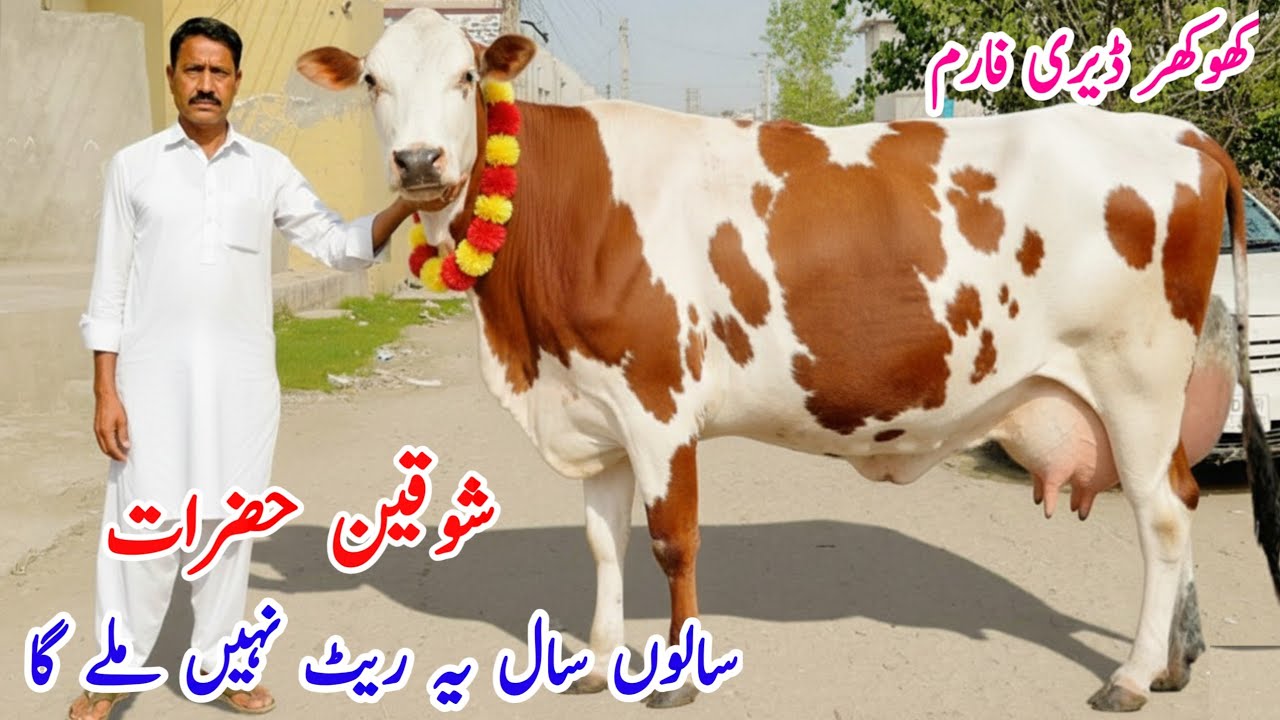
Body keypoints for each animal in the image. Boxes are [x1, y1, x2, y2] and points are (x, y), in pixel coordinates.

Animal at [297, 8, 1279, 712]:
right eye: (374, 81)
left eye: (466, 77)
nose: (418, 161)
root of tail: (1183, 135)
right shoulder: (594, 405)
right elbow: (605, 543)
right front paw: (602, 662)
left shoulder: (658, 402)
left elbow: (672, 541)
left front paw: (676, 679)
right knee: (1182, 498)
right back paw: (1175, 665)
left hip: (1135, 379)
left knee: (1161, 517)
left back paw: (1132, 676)